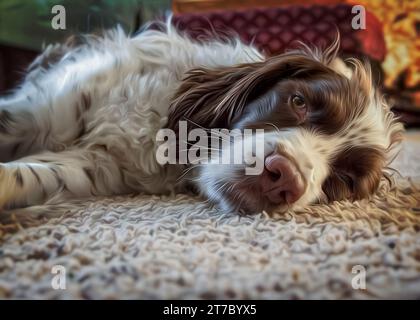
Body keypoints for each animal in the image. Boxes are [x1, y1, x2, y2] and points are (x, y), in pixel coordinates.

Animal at [0, 22, 404, 215]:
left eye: (344, 180)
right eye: (299, 101)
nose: (284, 179)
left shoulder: (94, 164)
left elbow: (28, 175)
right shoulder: (35, 111)